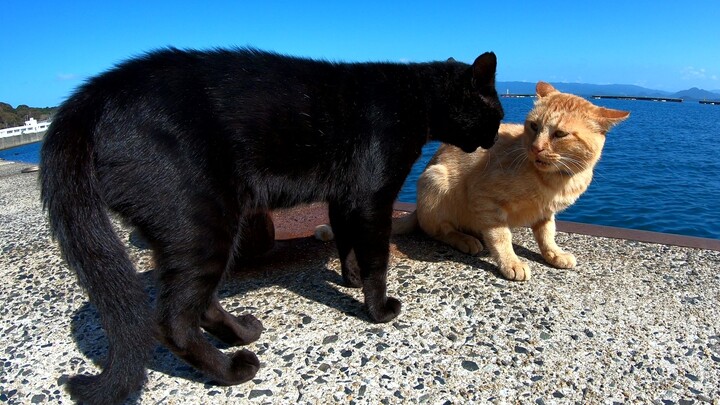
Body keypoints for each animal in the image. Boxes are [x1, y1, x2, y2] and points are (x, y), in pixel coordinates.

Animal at [38, 46, 500, 400]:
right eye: (495, 112)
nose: (496, 137)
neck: (413, 99)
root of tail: (93, 95)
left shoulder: (343, 196)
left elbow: (346, 242)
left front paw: (349, 279)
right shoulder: (373, 198)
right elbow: (376, 256)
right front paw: (378, 309)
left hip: (194, 232)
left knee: (200, 302)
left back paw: (242, 333)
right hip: (204, 222)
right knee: (173, 321)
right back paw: (233, 370)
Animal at [394, 80, 632, 280]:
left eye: (560, 134)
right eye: (534, 126)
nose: (536, 148)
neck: (554, 181)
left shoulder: (545, 212)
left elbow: (547, 234)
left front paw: (554, 254)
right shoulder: (485, 199)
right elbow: (500, 236)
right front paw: (511, 262)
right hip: (435, 180)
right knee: (438, 230)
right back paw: (465, 239)